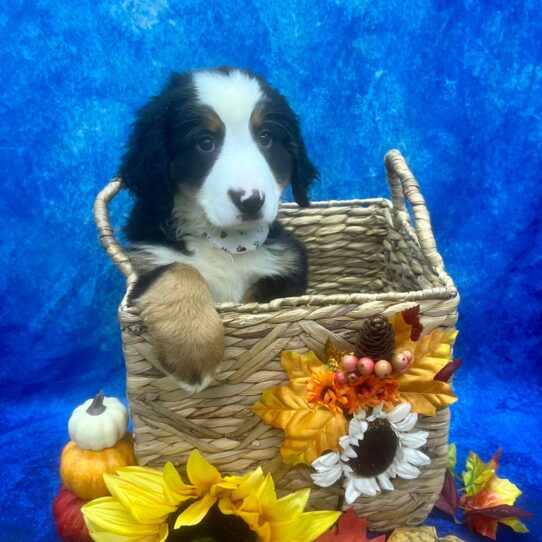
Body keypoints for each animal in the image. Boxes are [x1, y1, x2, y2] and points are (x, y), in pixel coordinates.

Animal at [120, 68, 318, 394]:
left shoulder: (288, 270)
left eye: (265, 138)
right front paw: (193, 351)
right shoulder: (145, 264)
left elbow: (255, 302)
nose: (251, 200)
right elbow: (181, 270)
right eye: (205, 142)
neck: (226, 239)